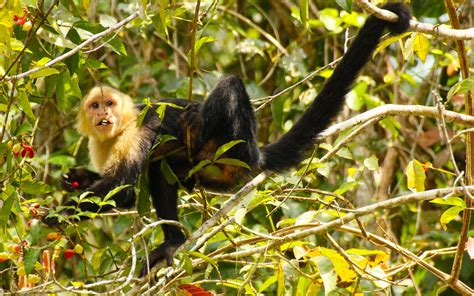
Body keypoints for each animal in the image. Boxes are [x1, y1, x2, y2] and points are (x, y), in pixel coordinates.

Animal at [43, 2, 412, 276]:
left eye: (109, 103)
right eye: (95, 105)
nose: (102, 114)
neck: (117, 131)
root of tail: (256, 153)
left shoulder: (135, 130)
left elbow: (123, 188)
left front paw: (56, 215)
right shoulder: (99, 143)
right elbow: (124, 196)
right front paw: (75, 180)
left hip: (236, 145)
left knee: (228, 87)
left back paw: (195, 129)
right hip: (210, 172)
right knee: (163, 167)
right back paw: (172, 240)